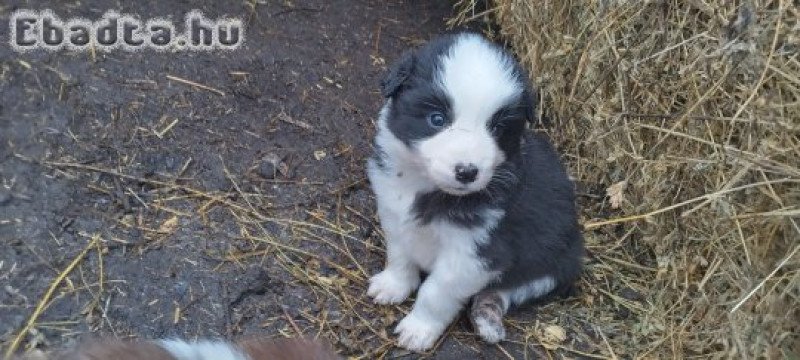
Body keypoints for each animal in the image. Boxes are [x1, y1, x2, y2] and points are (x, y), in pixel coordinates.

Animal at [366, 32, 584, 352]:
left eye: (497, 128)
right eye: (437, 119)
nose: (467, 172)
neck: (428, 188)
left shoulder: (477, 253)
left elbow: (436, 291)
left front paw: (419, 329)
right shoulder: (393, 212)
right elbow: (399, 254)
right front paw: (394, 285)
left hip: (556, 263)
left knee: (507, 290)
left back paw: (487, 316)